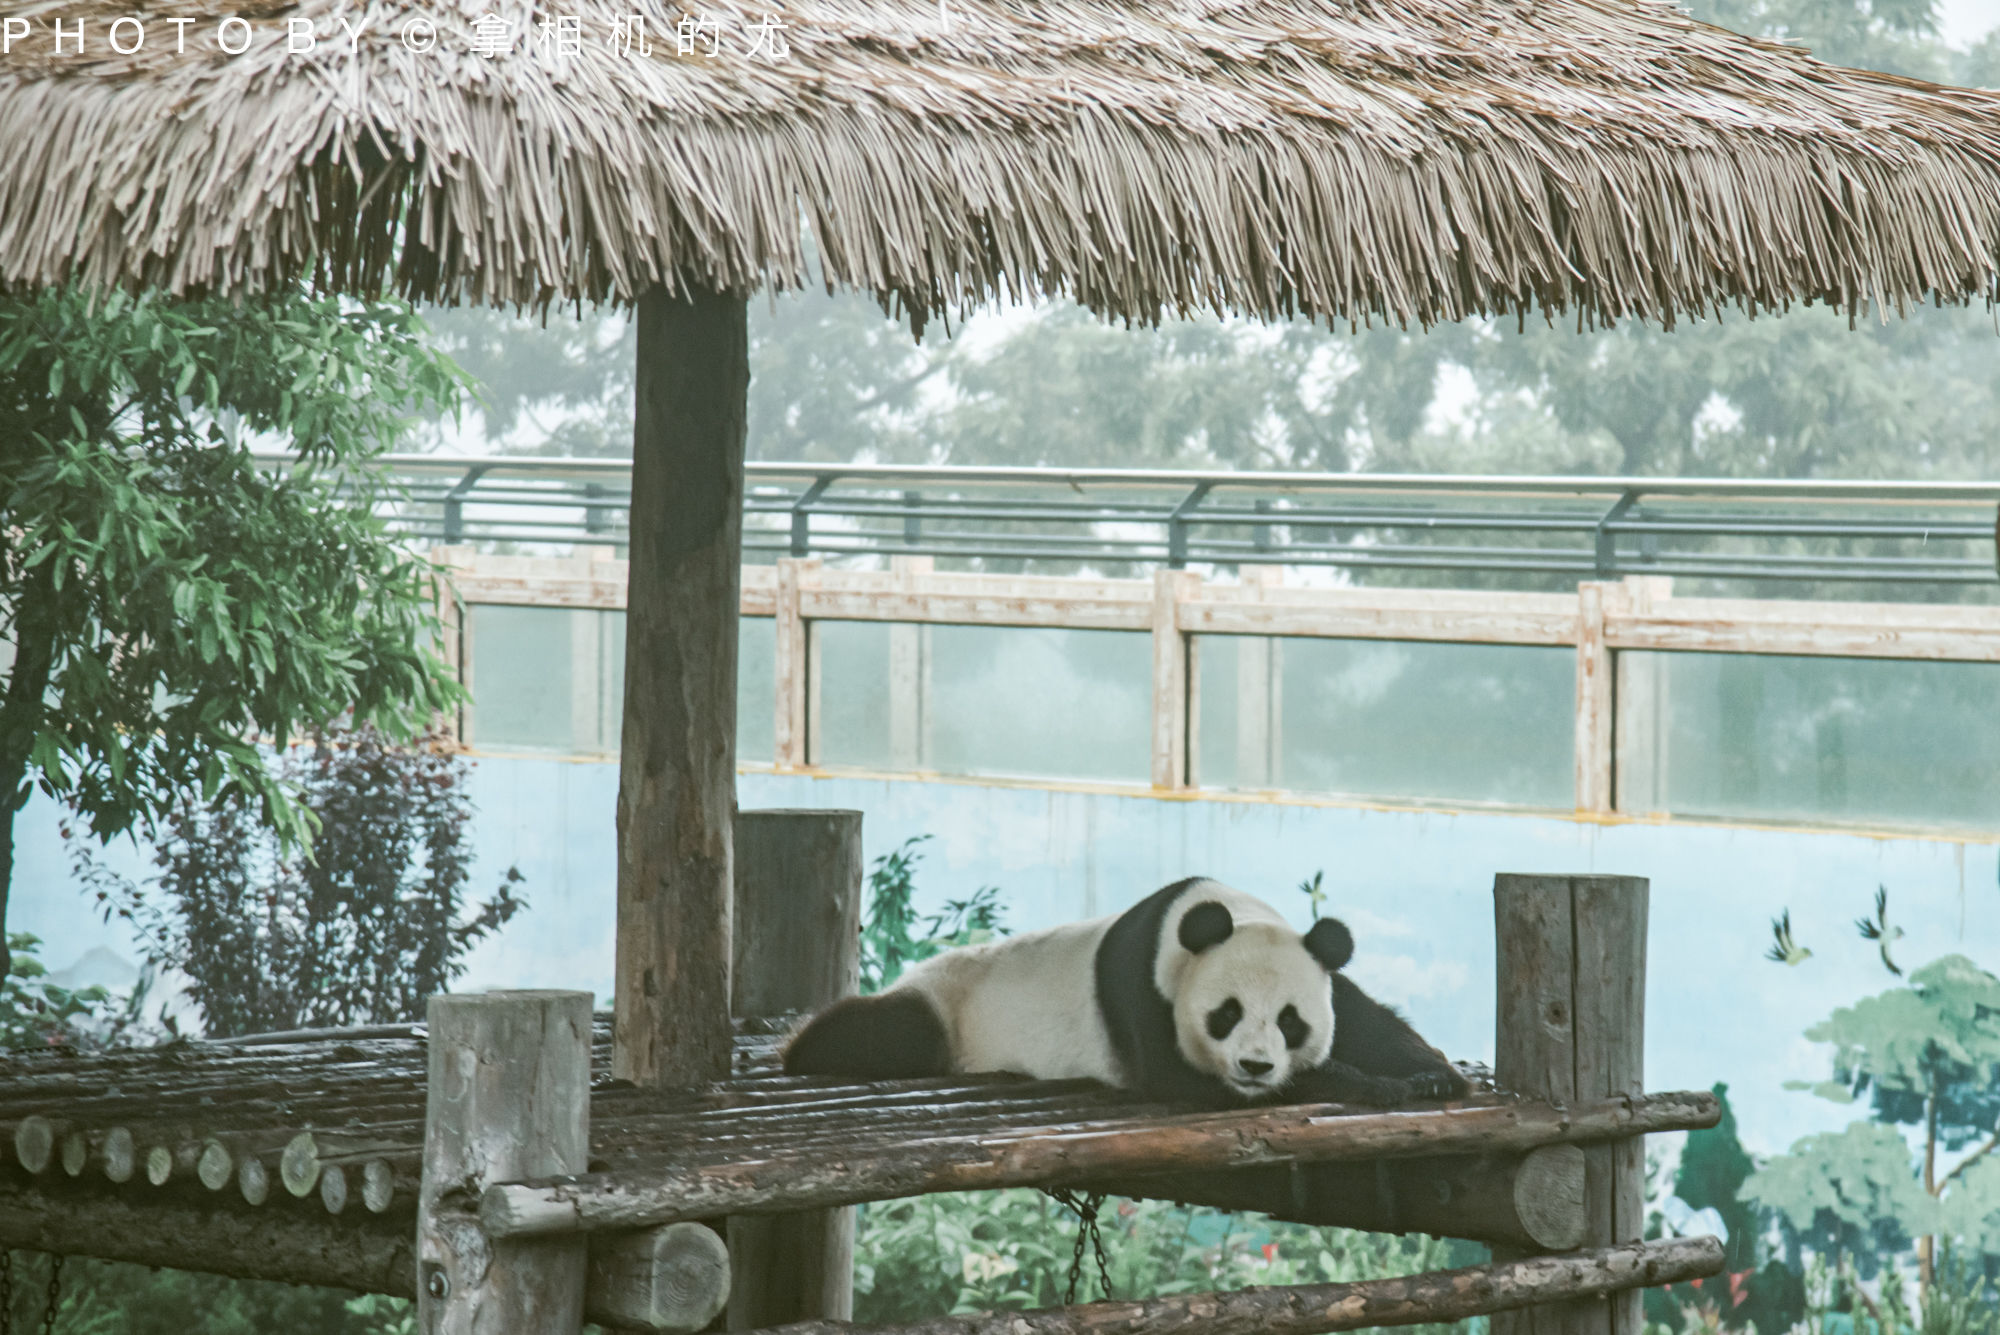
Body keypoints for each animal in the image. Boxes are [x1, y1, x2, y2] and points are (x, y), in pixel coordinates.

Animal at [784, 875, 1472, 1103]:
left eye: (1290, 1021)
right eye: (1226, 1014)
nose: (1255, 1066)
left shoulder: (1310, 958)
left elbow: (1368, 1021)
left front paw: (1433, 1077)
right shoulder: (1144, 994)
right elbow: (1182, 1079)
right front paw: (1375, 1087)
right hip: (947, 1004)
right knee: (880, 1032)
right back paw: (800, 1046)